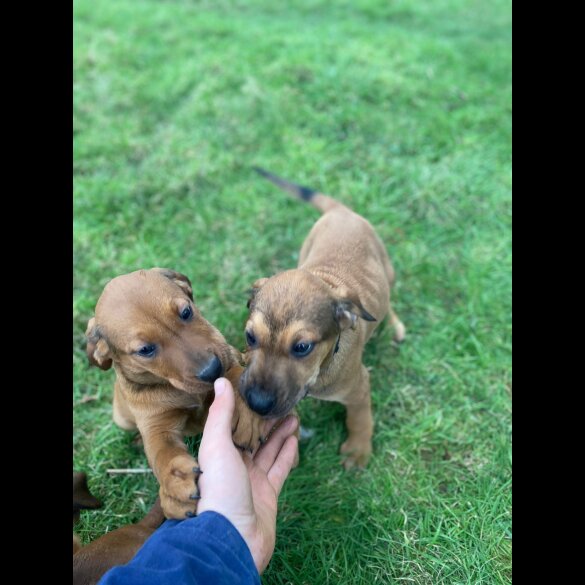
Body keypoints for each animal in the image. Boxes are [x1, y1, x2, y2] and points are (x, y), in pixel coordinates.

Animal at [85, 266, 264, 516]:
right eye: (145, 350)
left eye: (186, 312)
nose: (212, 369)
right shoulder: (157, 424)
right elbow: (162, 453)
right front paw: (175, 482)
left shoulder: (228, 357)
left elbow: (236, 373)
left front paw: (248, 416)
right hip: (121, 418)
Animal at [240, 167, 404, 468]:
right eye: (250, 336)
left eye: (302, 347)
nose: (257, 403)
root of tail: (341, 211)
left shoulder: (359, 387)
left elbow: (359, 419)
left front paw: (357, 452)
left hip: (388, 270)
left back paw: (394, 325)